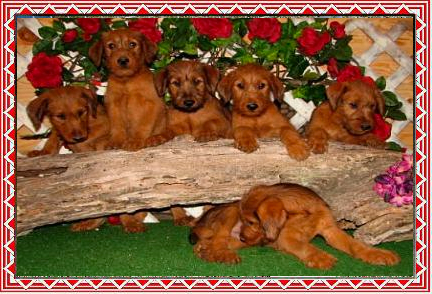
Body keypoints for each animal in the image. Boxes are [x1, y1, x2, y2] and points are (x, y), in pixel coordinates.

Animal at [240, 184, 402, 268]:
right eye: (245, 221)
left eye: (251, 223)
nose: (241, 238)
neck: (304, 216)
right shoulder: (286, 238)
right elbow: (304, 246)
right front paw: (320, 257)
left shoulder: (331, 230)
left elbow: (355, 245)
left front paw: (377, 253)